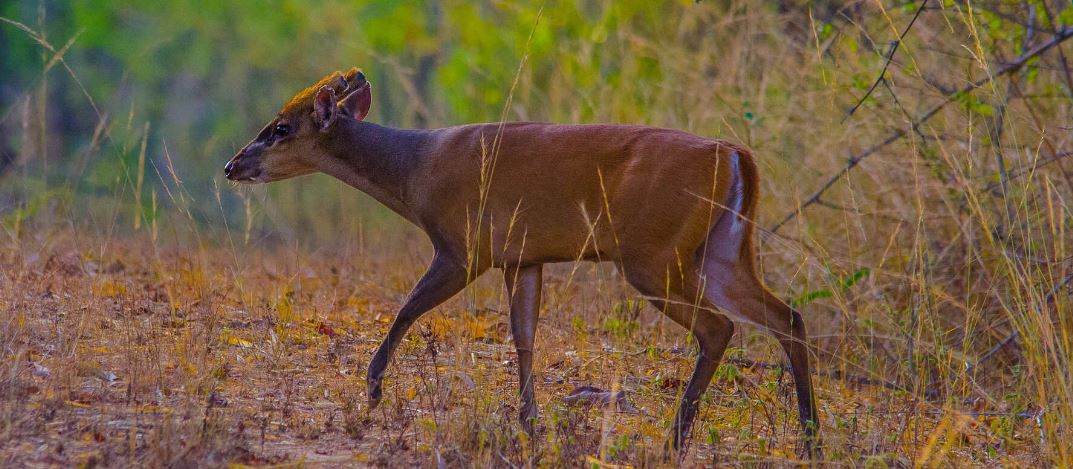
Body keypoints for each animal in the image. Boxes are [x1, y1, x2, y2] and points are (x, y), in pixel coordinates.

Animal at [224, 67, 819, 455]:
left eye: (280, 127)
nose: (232, 166)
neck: (414, 173)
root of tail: (735, 154)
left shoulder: (465, 246)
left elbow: (408, 308)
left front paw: (371, 390)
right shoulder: (523, 258)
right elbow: (524, 336)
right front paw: (531, 424)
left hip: (654, 254)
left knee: (720, 328)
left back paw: (676, 439)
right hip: (723, 251)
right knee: (787, 316)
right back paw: (809, 437)